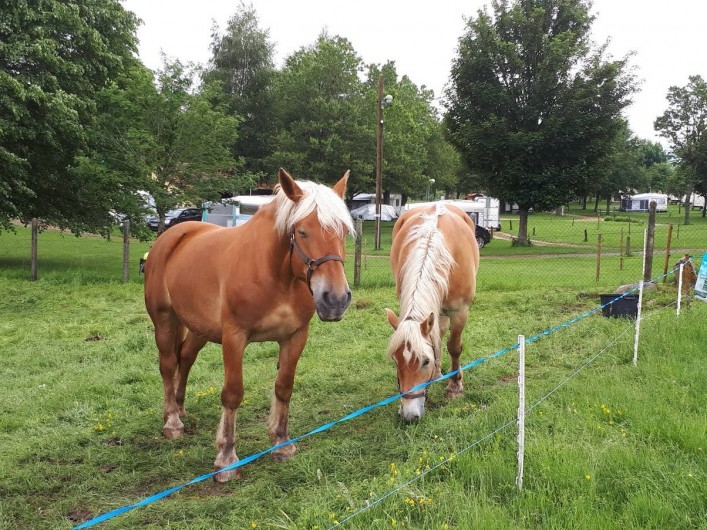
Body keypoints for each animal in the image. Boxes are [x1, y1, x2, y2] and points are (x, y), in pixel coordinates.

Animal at [143, 168, 355, 482]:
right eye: (302, 231)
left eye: (343, 231)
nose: (336, 299)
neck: (276, 276)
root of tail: (172, 236)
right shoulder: (234, 337)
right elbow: (232, 394)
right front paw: (226, 458)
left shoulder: (295, 336)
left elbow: (284, 387)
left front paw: (282, 443)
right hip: (165, 320)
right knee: (168, 365)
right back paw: (172, 422)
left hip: (198, 328)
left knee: (186, 358)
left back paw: (180, 410)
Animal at [385, 203, 480, 423]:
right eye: (396, 360)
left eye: (424, 361)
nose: (409, 415)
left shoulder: (460, 311)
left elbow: (454, 347)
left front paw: (455, 387)